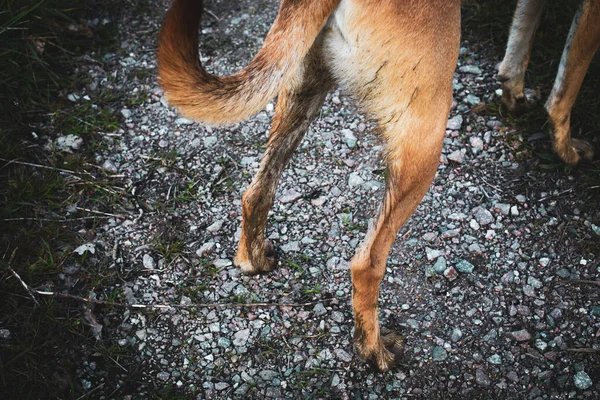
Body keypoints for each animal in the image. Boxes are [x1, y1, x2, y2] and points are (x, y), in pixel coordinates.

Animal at [156, 0, 460, 372]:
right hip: (424, 133)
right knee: (367, 263)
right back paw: (372, 350)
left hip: (301, 84)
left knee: (256, 193)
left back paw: (252, 260)